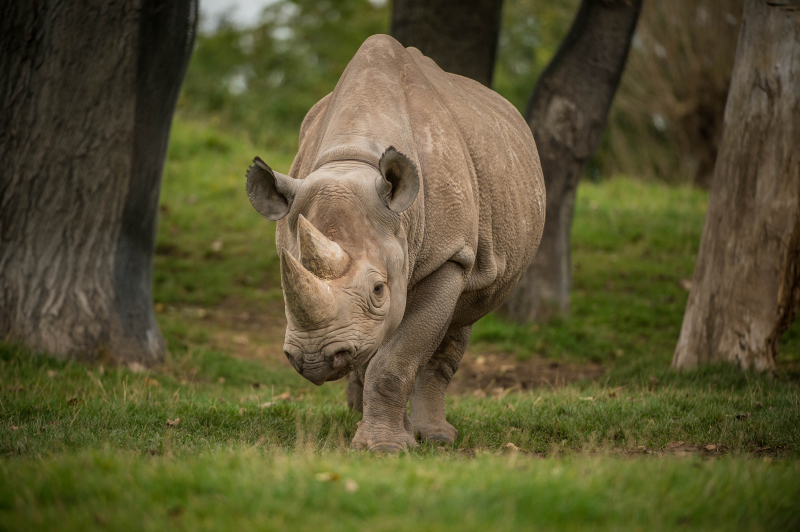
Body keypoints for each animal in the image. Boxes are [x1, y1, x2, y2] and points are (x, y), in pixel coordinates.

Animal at [246, 35, 545, 452]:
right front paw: (385, 440)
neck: (353, 159)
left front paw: (386, 449)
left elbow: (396, 358)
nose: (314, 360)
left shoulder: (448, 256)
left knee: (458, 319)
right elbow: (380, 349)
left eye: (377, 289)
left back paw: (436, 437)